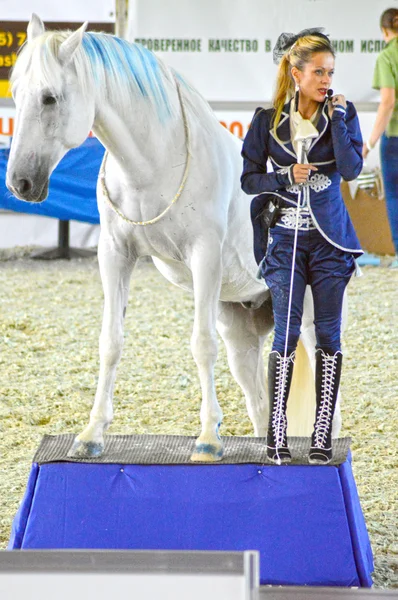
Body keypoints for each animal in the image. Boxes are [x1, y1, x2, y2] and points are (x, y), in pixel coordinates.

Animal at [6, 16, 342, 462]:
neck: (153, 165)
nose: (19, 183)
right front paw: (92, 434)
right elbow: (110, 342)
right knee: (258, 400)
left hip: (306, 316)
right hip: (240, 332)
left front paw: (209, 438)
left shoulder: (204, 257)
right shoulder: (114, 255)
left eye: (49, 98)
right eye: (16, 93)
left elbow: (201, 345)